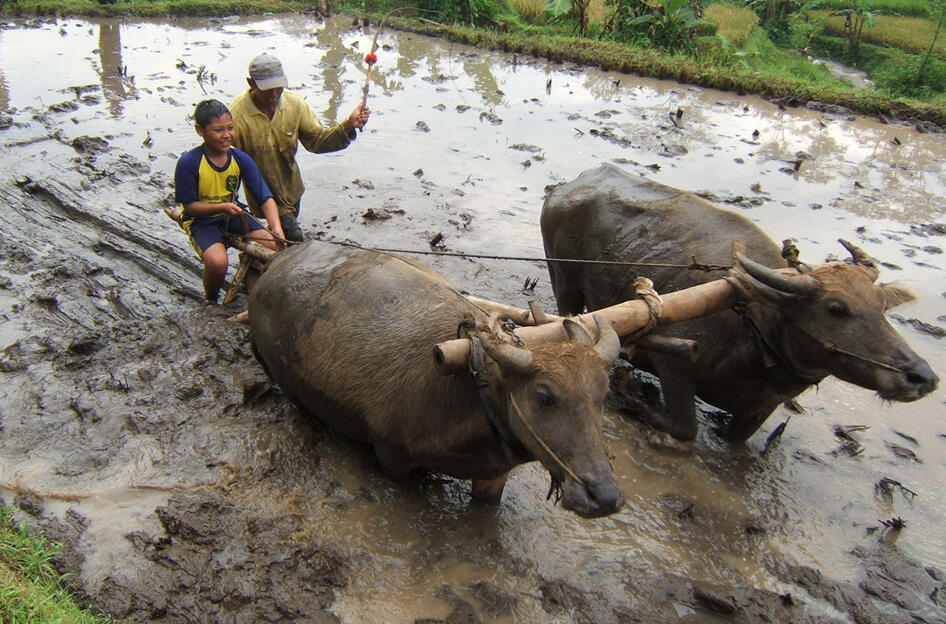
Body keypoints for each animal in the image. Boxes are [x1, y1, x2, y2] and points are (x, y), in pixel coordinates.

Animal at [247, 241, 624, 520]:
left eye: (602, 395)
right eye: (544, 397)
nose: (605, 496)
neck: (471, 389)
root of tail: (274, 264)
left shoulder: (493, 475)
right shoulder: (392, 457)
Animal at [540, 163, 936, 442]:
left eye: (883, 307)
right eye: (836, 308)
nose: (922, 377)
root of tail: (568, 186)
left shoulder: (761, 409)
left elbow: (734, 440)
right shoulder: (675, 365)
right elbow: (685, 428)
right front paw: (634, 398)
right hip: (564, 280)